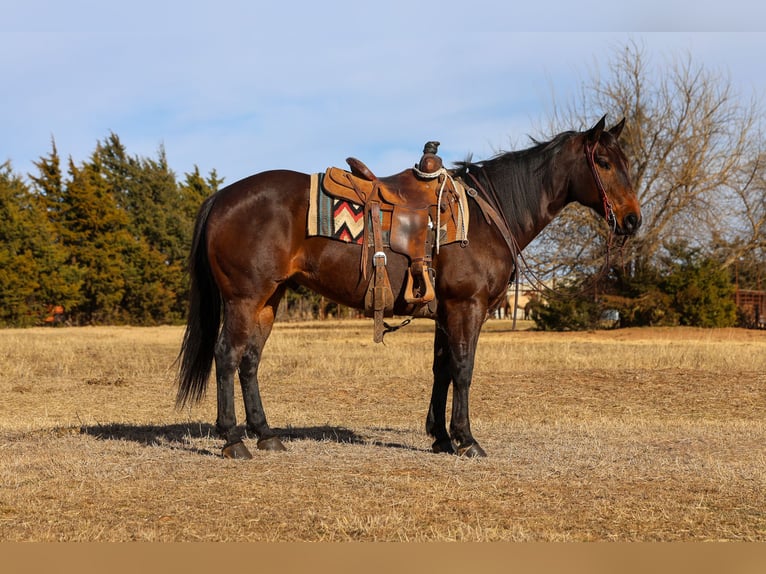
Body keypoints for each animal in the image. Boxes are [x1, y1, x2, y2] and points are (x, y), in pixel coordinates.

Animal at [176, 116, 641, 459]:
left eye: (626, 161)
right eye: (602, 162)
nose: (633, 219)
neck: (487, 215)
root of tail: (221, 197)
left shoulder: (446, 312)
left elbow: (442, 370)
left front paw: (441, 437)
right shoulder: (467, 307)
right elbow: (463, 369)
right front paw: (466, 440)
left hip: (268, 300)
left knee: (250, 361)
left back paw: (266, 434)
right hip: (245, 298)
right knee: (227, 356)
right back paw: (233, 440)